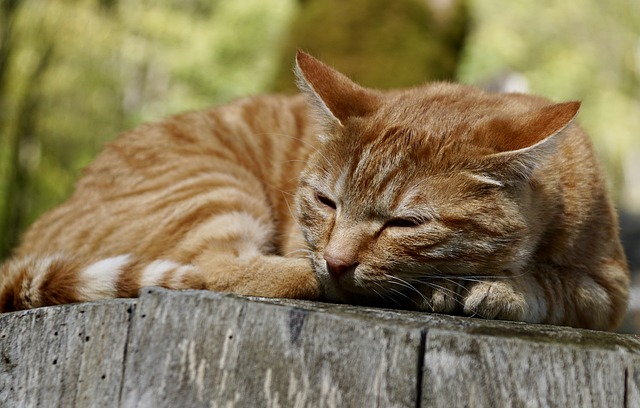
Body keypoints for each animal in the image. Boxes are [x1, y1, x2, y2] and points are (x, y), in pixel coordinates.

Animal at [0, 51, 632, 332]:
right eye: (327, 202)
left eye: (404, 223)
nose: (337, 259)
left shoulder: (610, 288)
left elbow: (555, 286)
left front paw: (498, 288)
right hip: (212, 189)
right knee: (212, 266)